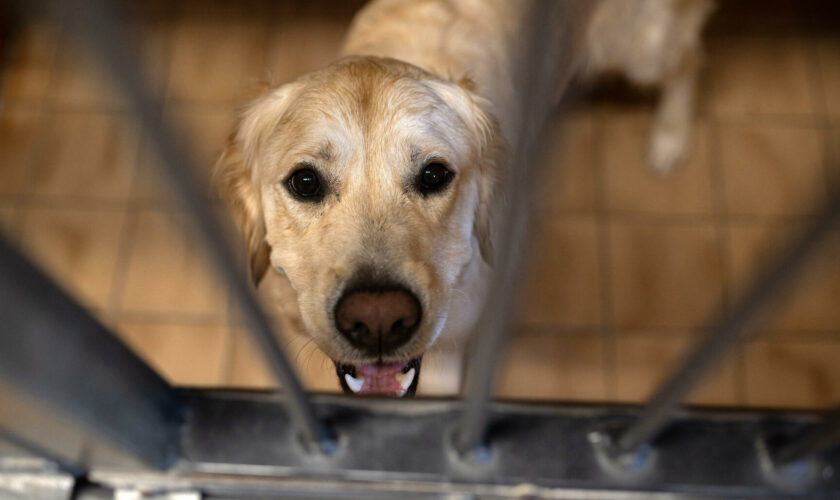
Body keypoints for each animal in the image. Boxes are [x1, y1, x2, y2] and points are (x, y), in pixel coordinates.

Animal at [217, 0, 716, 398]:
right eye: (305, 182)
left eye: (435, 174)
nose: (378, 320)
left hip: (641, 44)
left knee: (689, 57)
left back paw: (670, 138)